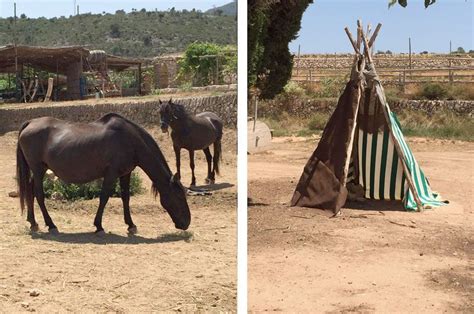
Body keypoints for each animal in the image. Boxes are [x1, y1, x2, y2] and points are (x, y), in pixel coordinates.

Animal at [16, 112, 191, 233]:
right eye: (179, 196)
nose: (186, 222)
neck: (130, 140)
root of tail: (30, 123)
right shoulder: (111, 174)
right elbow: (104, 197)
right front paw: (98, 225)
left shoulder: (125, 174)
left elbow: (125, 198)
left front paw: (131, 224)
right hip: (38, 169)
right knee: (38, 194)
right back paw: (51, 225)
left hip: (39, 170)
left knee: (30, 191)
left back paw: (33, 223)